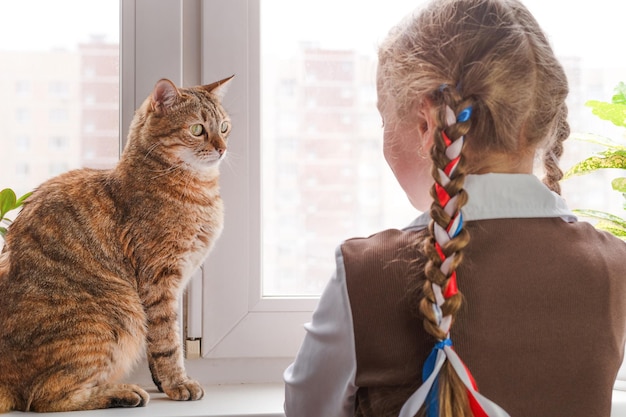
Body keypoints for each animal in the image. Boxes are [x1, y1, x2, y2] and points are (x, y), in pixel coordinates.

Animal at [0, 75, 233, 412]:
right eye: (197, 129)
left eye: (224, 127)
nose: (222, 148)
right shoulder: (160, 280)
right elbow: (168, 341)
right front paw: (177, 383)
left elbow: (159, 344)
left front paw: (163, 382)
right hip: (119, 314)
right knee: (46, 398)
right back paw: (122, 393)